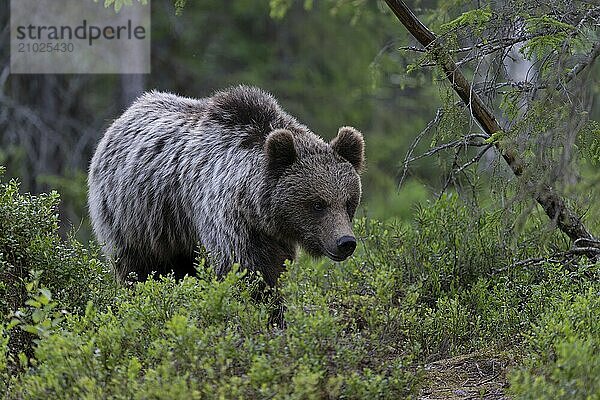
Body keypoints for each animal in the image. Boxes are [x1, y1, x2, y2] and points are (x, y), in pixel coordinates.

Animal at [86, 84, 364, 286]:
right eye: (317, 204)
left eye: (349, 202)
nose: (345, 242)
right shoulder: (228, 218)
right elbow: (245, 268)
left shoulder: (272, 236)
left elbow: (274, 269)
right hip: (136, 220)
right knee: (139, 268)